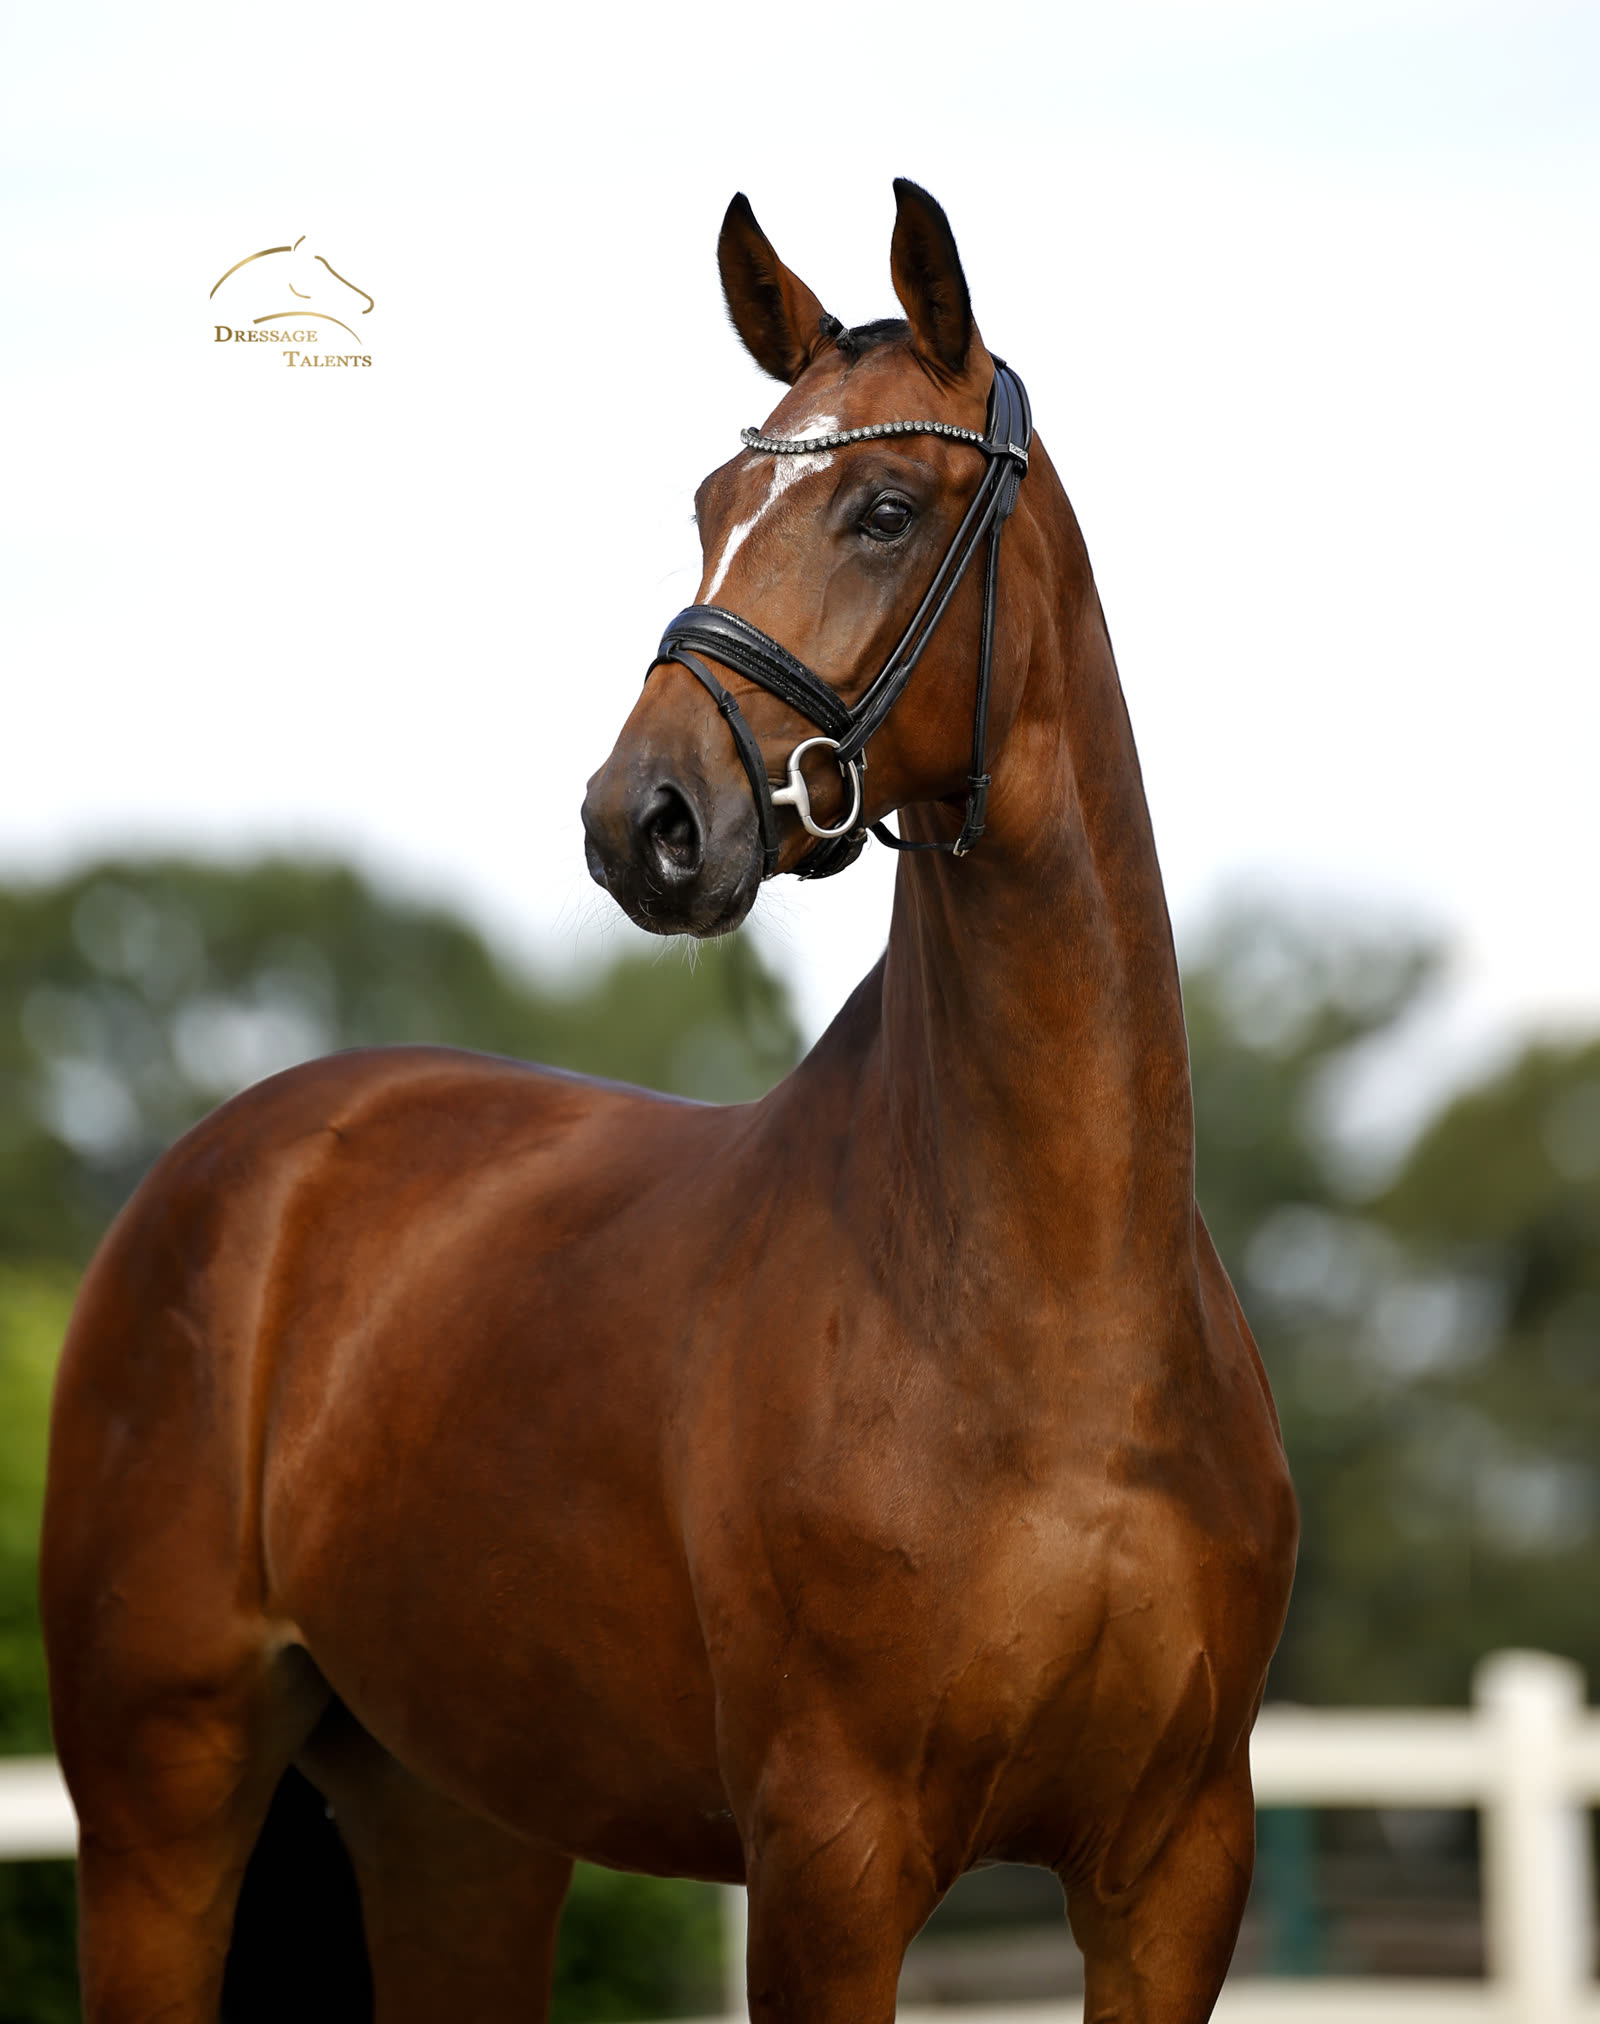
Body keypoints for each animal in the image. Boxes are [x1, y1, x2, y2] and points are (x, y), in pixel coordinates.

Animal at [43, 180, 1296, 2023]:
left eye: (883, 507)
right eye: (710, 500)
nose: (643, 818)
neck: (1055, 1319)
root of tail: (244, 1160)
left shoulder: (1175, 1873)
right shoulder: (831, 1860)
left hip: (455, 1819)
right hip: (160, 1797)